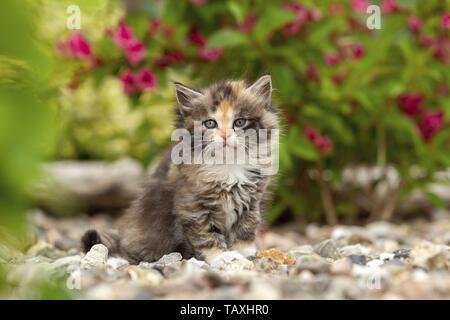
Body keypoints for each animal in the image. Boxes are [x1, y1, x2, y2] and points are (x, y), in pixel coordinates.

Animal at [81, 75, 278, 262]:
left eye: (239, 122)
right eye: (210, 123)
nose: (224, 136)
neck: (228, 165)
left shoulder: (252, 200)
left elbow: (246, 226)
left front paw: (245, 251)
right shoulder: (193, 207)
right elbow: (206, 234)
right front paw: (221, 256)